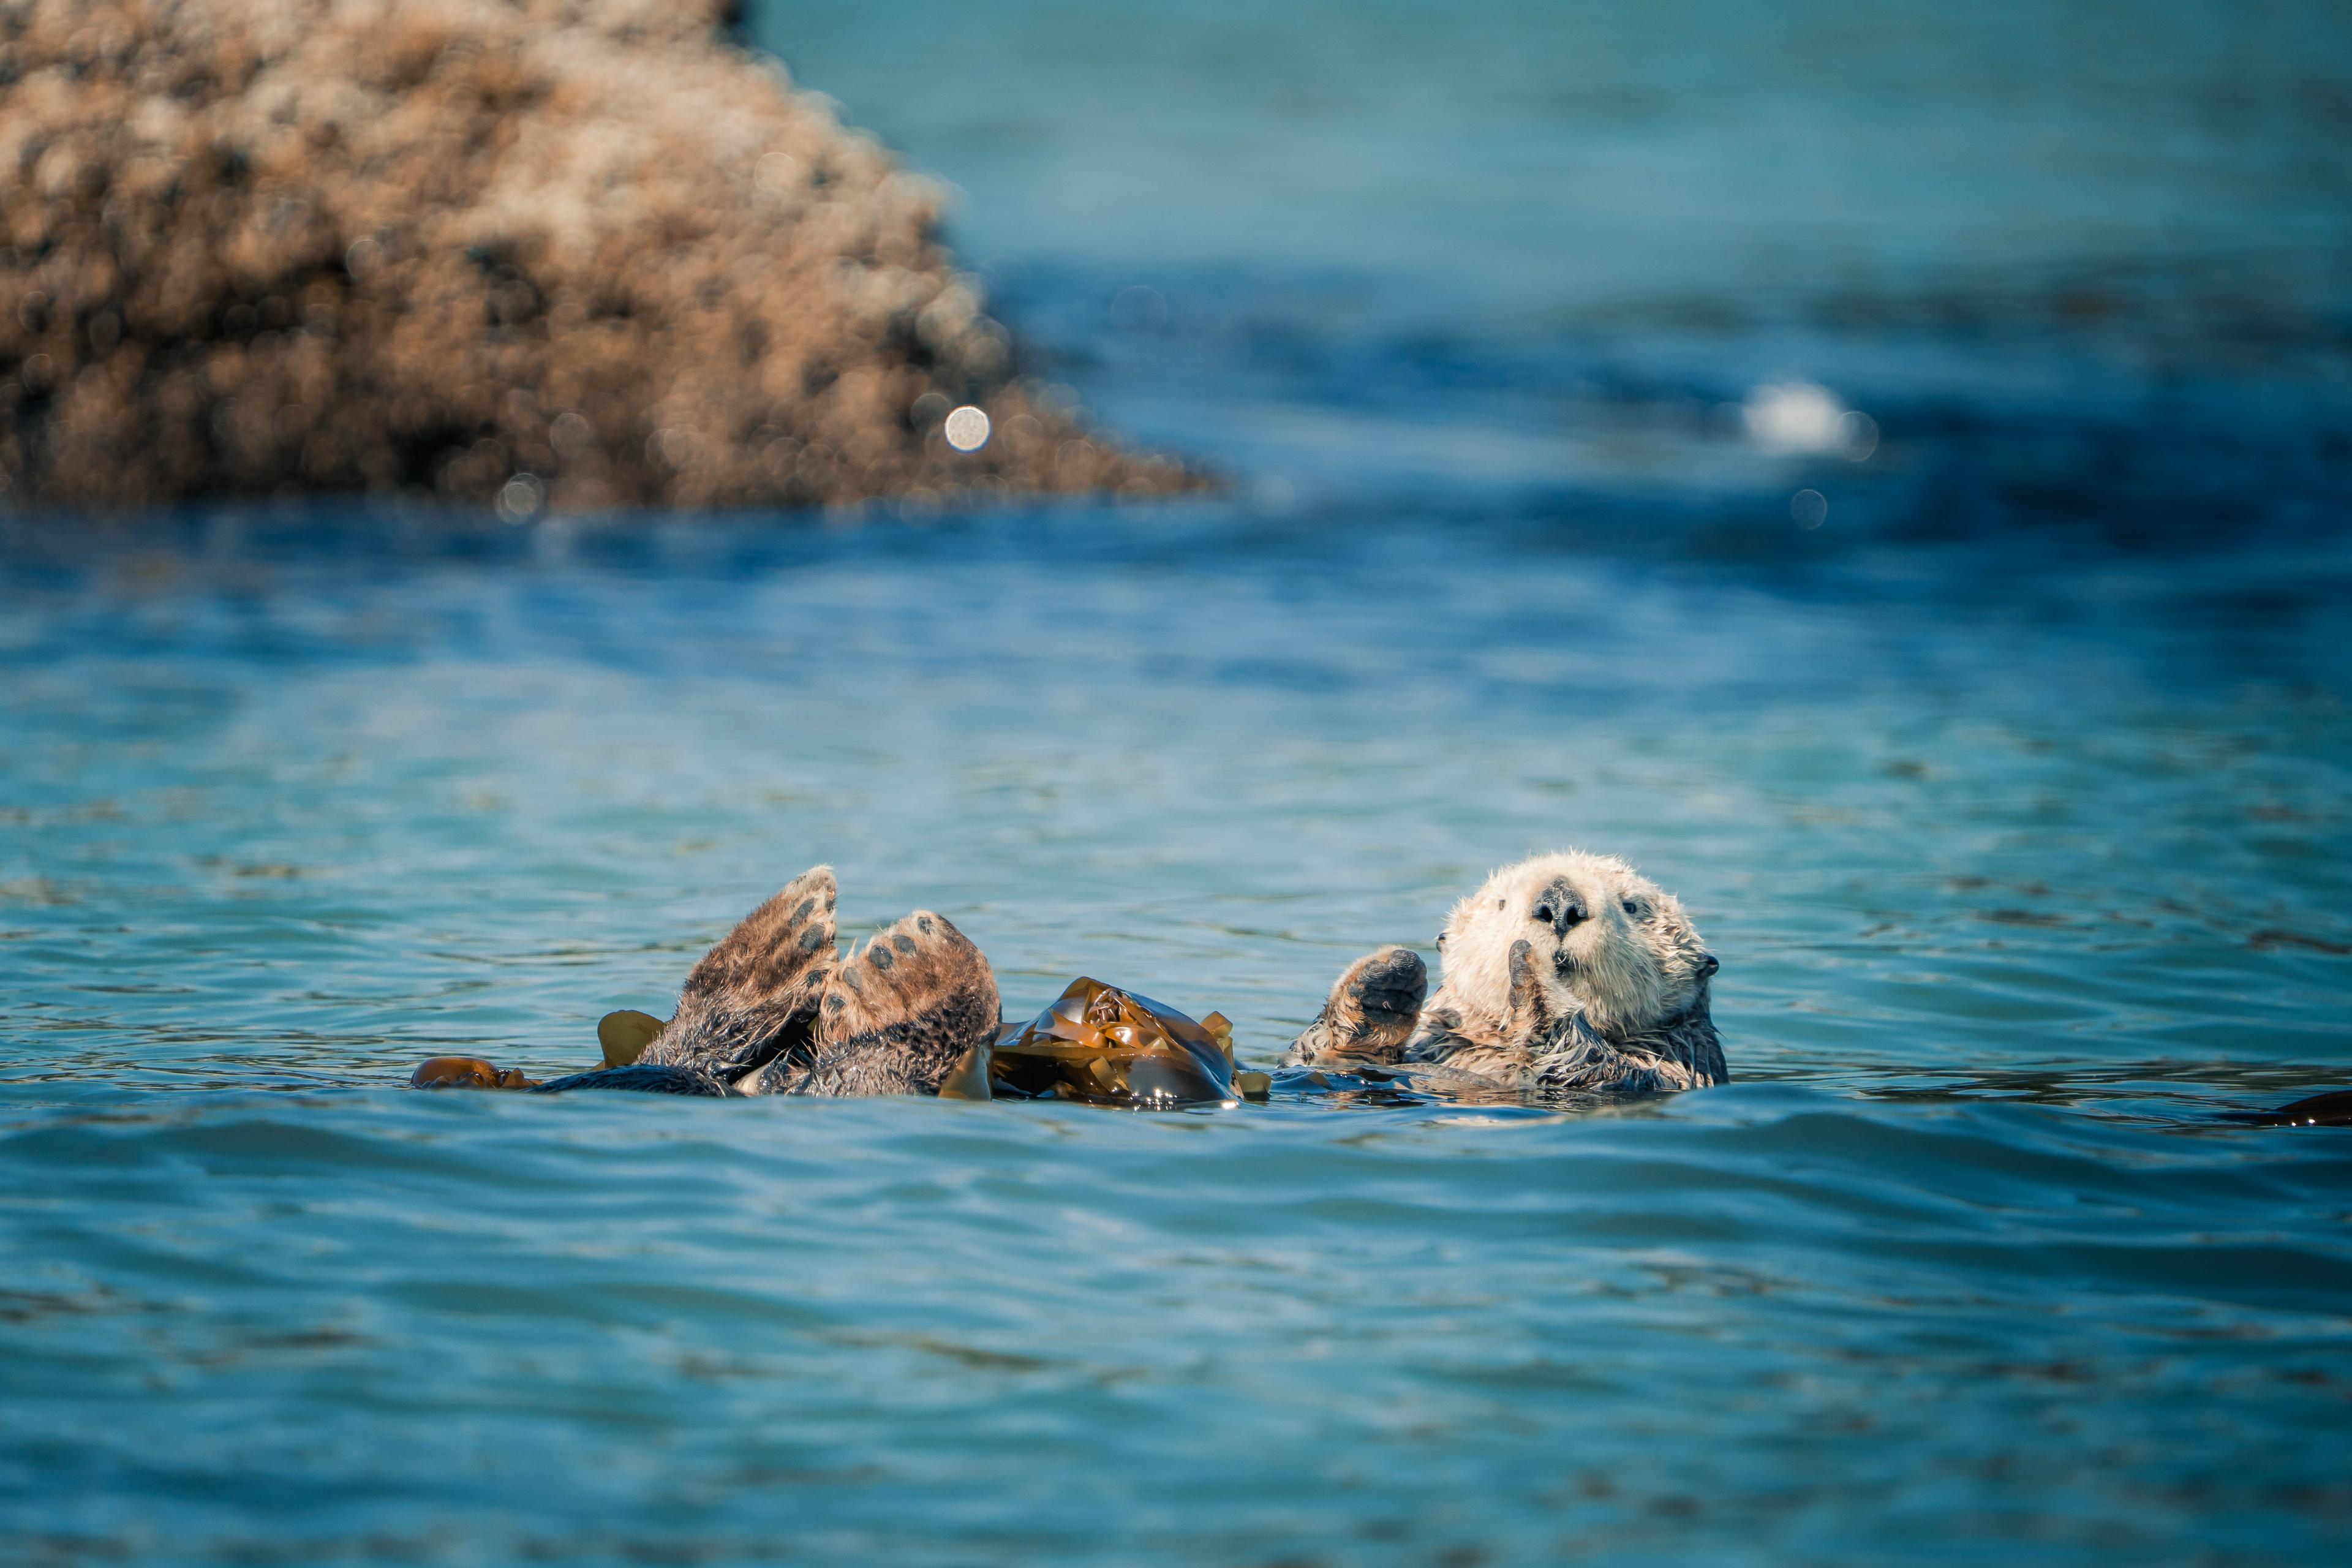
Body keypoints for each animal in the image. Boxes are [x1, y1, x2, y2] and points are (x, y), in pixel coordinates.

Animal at [1285, 851, 1725, 1094]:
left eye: (1633, 907)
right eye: (1500, 902)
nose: (1560, 903)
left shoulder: (1670, 1069)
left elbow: (1595, 1067)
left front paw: (1535, 978)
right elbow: (1315, 1058)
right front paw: (1384, 988)